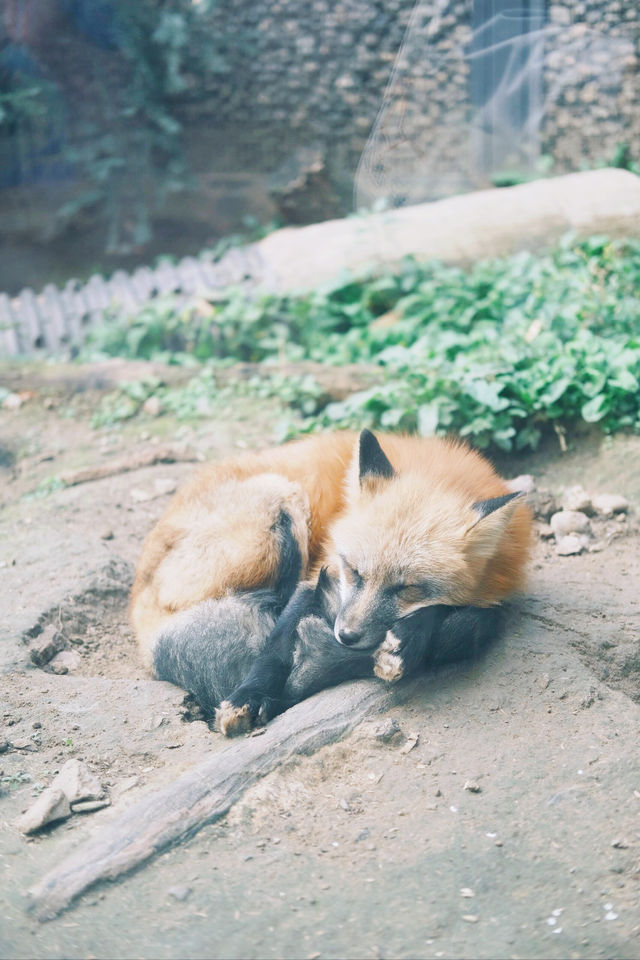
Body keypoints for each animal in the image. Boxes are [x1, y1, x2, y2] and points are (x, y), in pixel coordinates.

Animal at [130, 430, 528, 736]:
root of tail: (139, 614)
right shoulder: (322, 574)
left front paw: (406, 641)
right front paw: (250, 697)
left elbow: (461, 614)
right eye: (354, 570)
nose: (346, 636)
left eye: (406, 588)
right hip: (281, 502)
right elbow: (275, 647)